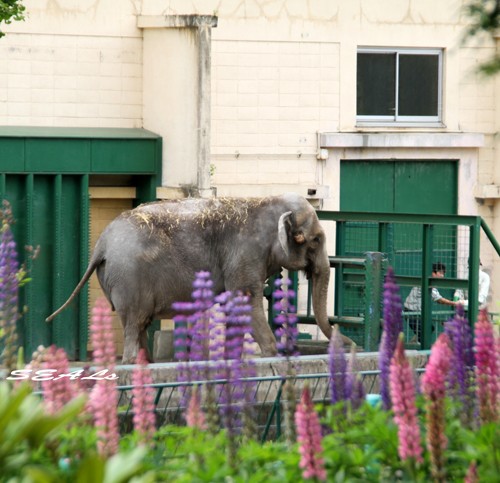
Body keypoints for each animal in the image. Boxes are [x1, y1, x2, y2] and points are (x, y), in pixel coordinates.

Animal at [46, 193, 352, 364]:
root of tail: (101, 245)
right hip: (129, 278)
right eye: (315, 240)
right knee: (135, 322)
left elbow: (234, 306)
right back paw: (133, 363)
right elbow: (245, 300)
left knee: (140, 324)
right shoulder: (245, 252)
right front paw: (270, 356)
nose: (351, 345)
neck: (268, 201)